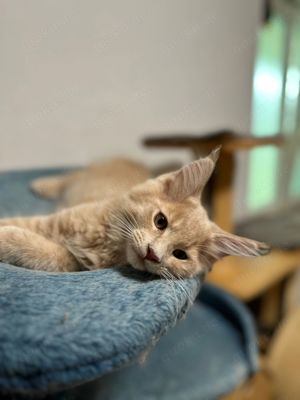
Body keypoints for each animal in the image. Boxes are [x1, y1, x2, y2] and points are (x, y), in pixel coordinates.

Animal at [0, 150, 270, 278]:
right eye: (160, 221)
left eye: (180, 255)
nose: (152, 254)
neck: (107, 241)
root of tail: (138, 163)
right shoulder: (52, 222)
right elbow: (20, 226)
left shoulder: (72, 263)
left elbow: (40, 251)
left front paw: (8, 238)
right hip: (84, 175)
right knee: (69, 176)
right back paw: (42, 184)